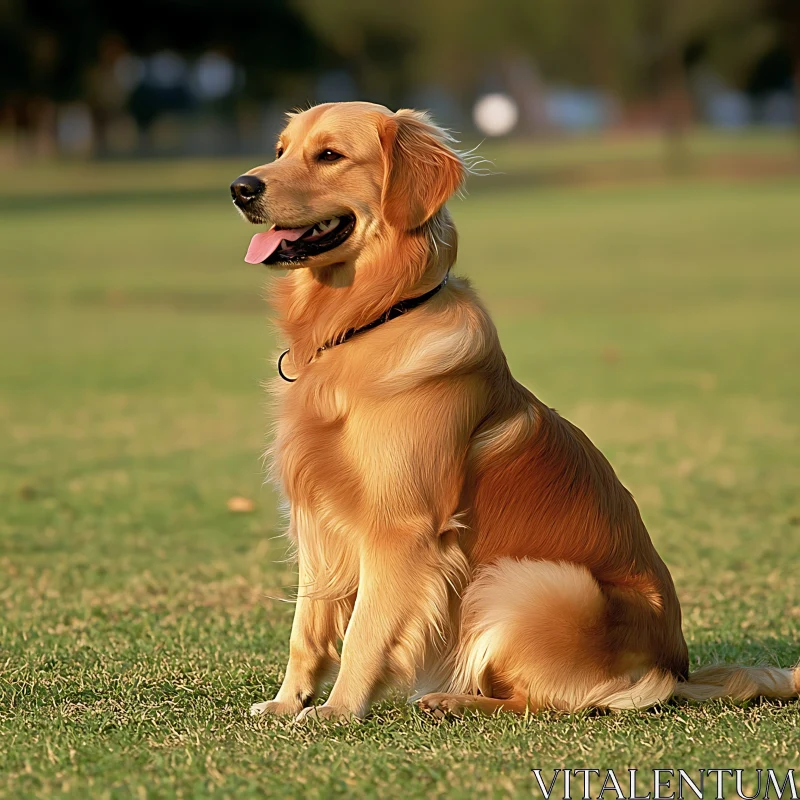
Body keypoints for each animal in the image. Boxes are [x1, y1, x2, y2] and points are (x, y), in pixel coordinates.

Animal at [228, 103, 796, 720]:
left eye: (329, 155)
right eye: (281, 150)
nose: (240, 187)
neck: (369, 321)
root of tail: (678, 671)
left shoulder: (401, 528)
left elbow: (364, 631)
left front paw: (336, 712)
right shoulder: (317, 515)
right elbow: (306, 628)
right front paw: (287, 703)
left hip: (528, 580)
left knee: (545, 701)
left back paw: (451, 699)